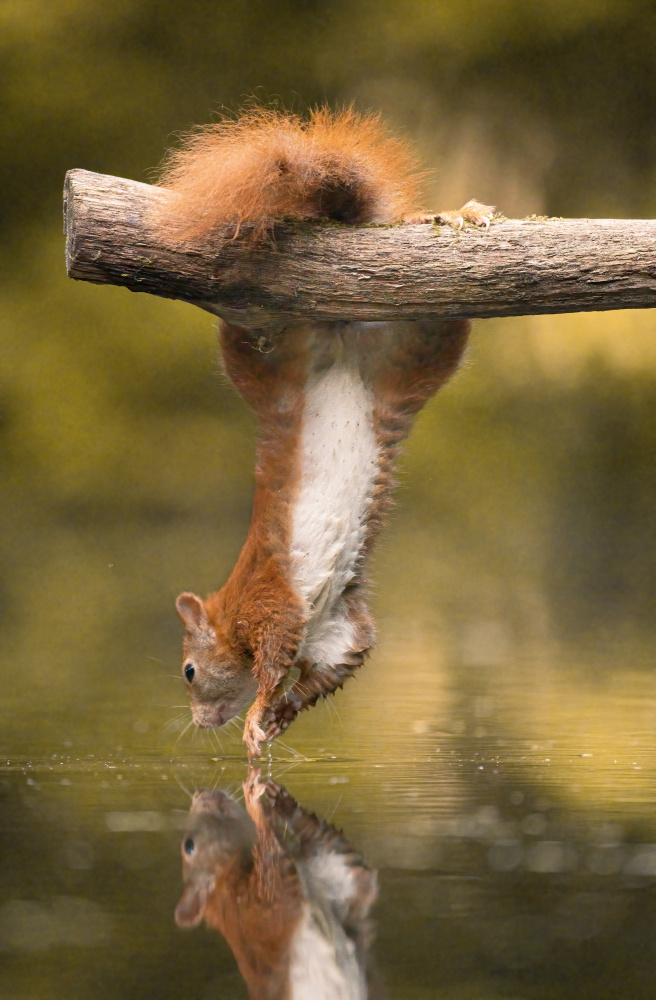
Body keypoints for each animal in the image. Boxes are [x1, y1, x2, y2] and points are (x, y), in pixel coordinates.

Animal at [154, 105, 492, 752]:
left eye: (188, 671)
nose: (201, 724)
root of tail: (336, 334)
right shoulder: (337, 632)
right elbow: (326, 672)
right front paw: (282, 715)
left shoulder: (270, 603)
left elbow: (273, 662)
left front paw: (259, 714)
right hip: (409, 353)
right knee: (446, 316)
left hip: (273, 348)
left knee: (255, 324)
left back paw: (451, 215)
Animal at [174, 768, 380, 1000]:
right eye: (188, 846)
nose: (198, 793)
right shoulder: (268, 908)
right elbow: (271, 862)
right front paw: (253, 801)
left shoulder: (338, 872)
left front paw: (283, 802)